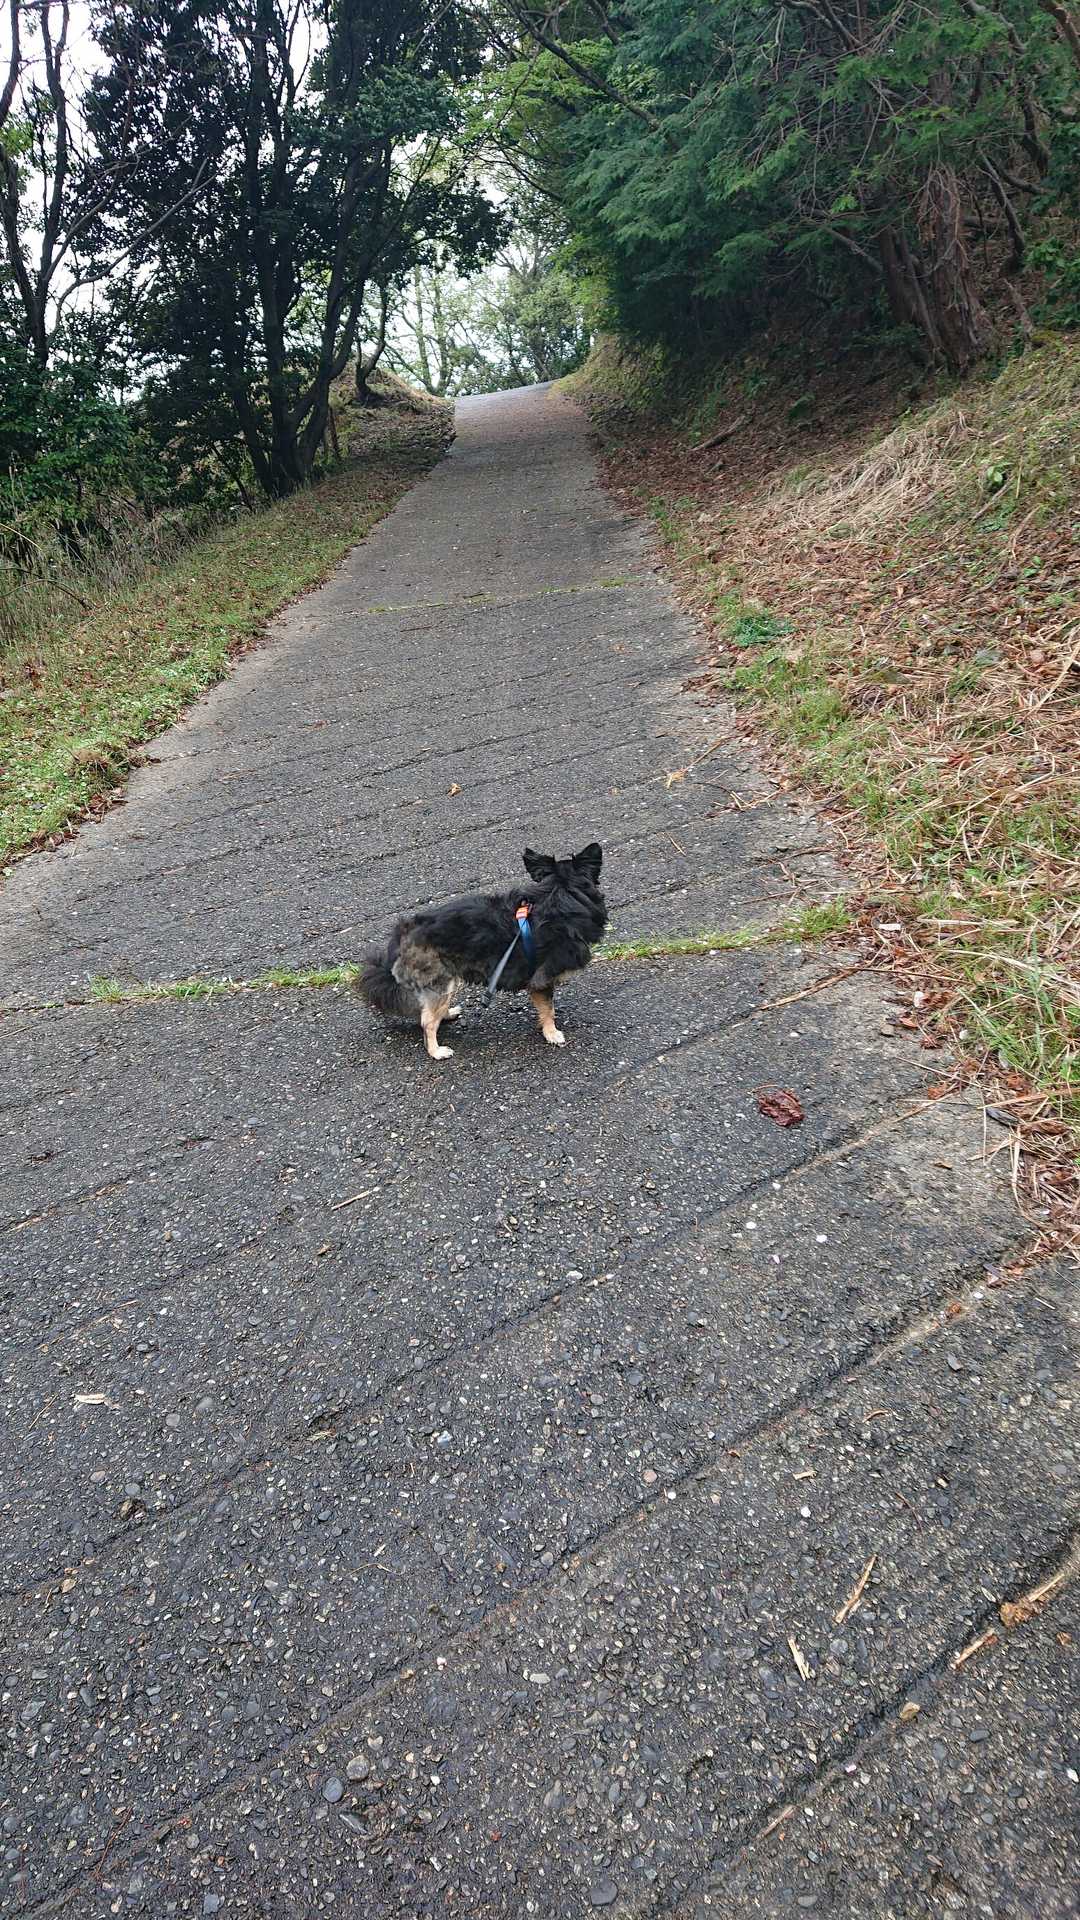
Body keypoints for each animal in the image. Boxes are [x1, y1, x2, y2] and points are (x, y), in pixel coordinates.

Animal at [357, 843, 606, 1060]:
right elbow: (548, 1009)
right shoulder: (541, 978)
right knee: (426, 1021)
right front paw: (552, 1033)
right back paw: (436, 1051)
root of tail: (403, 933)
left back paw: (447, 1014)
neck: (560, 894)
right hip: (443, 981)